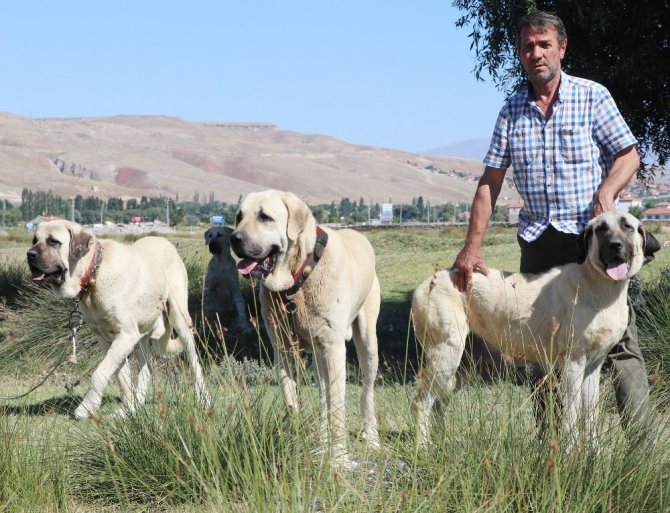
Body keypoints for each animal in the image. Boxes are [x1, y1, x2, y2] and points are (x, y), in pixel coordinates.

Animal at [27, 219, 211, 416]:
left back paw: (203, 399)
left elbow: (100, 373)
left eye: (54, 241)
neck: (95, 274)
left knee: (194, 363)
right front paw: (128, 410)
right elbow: (121, 377)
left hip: (179, 319)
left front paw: (86, 407)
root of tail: (165, 242)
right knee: (147, 368)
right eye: (34, 240)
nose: (29, 254)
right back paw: (138, 403)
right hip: (140, 335)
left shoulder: (125, 335)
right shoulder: (109, 339)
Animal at [231, 188, 380, 464]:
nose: (233, 239)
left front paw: (340, 457)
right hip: (317, 355)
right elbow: (292, 403)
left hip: (367, 341)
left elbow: (338, 408)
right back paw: (322, 442)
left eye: (265, 217)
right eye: (239, 217)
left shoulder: (334, 349)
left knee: (366, 392)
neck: (296, 280)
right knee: (323, 395)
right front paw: (296, 445)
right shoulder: (284, 351)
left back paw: (371, 436)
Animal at [414, 210, 660, 446]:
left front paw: (593, 455)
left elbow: (591, 416)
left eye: (627, 226)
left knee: (439, 404)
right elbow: (571, 417)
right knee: (421, 403)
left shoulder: (593, 366)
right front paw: (570, 454)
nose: (615, 246)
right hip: (445, 355)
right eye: (601, 229)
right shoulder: (573, 364)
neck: (601, 287)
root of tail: (427, 283)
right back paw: (424, 447)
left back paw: (442, 442)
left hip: (462, 365)